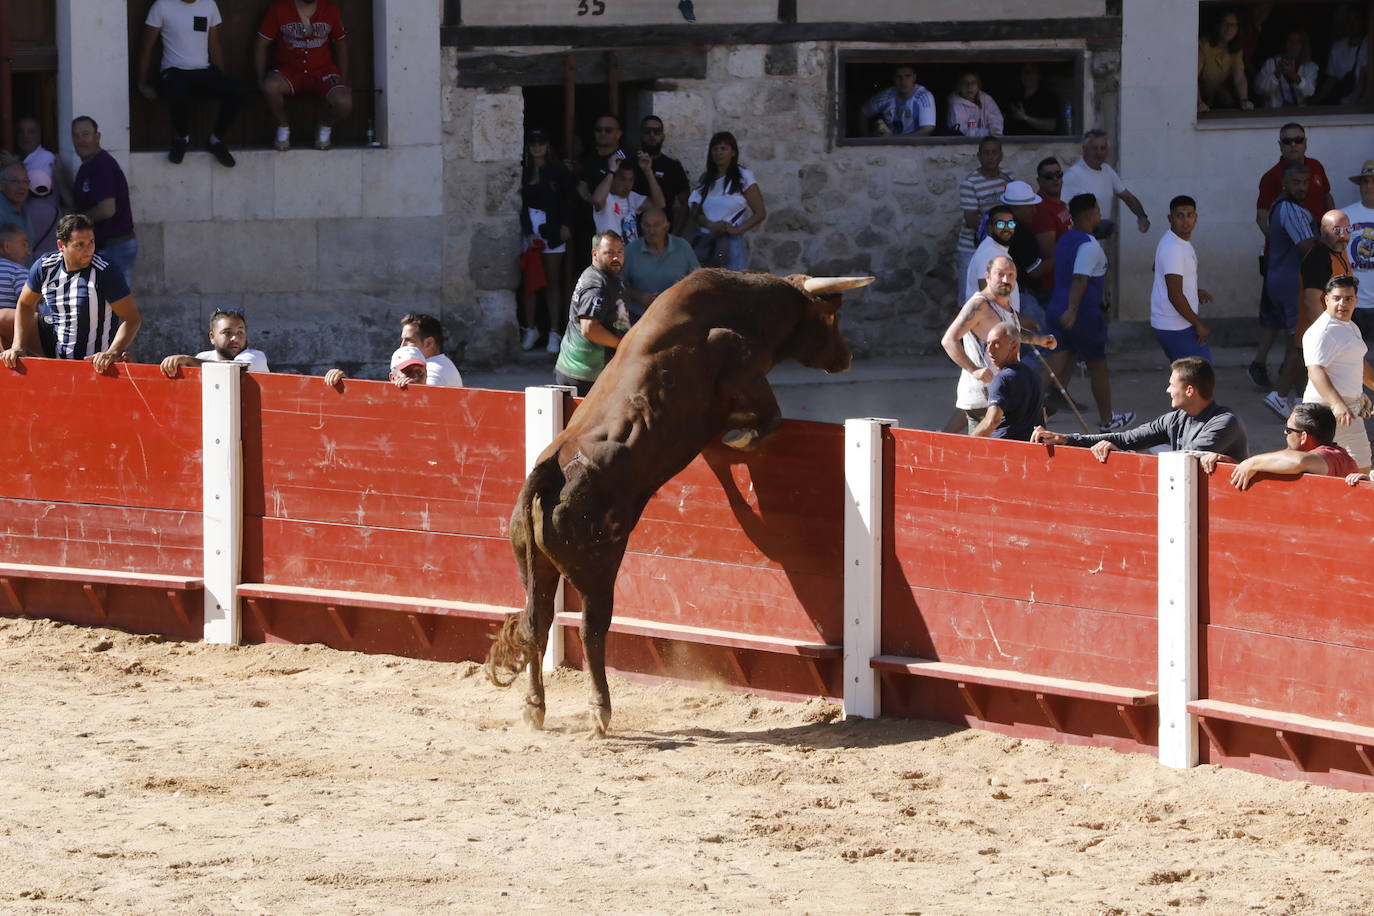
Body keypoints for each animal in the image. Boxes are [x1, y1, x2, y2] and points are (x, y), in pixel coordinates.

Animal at [486, 269, 868, 736]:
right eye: (831, 316)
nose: (846, 356)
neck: (748, 306)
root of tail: (549, 469)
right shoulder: (741, 367)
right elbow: (770, 418)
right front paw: (741, 438)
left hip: (531, 561)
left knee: (537, 623)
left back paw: (535, 706)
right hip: (596, 567)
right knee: (592, 629)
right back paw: (600, 710)